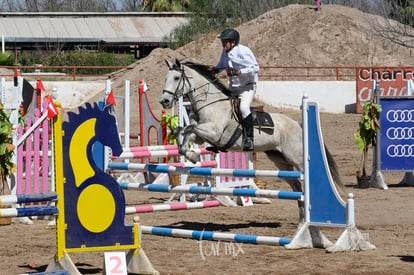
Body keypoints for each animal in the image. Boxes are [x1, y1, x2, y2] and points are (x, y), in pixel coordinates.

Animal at [158, 59, 342, 223]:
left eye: (176, 78)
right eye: (165, 77)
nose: (164, 101)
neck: (210, 104)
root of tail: (297, 124)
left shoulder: (214, 132)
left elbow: (189, 129)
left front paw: (192, 156)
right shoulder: (202, 135)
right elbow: (183, 131)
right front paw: (190, 154)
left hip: (297, 157)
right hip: (280, 160)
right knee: (296, 186)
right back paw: (302, 219)